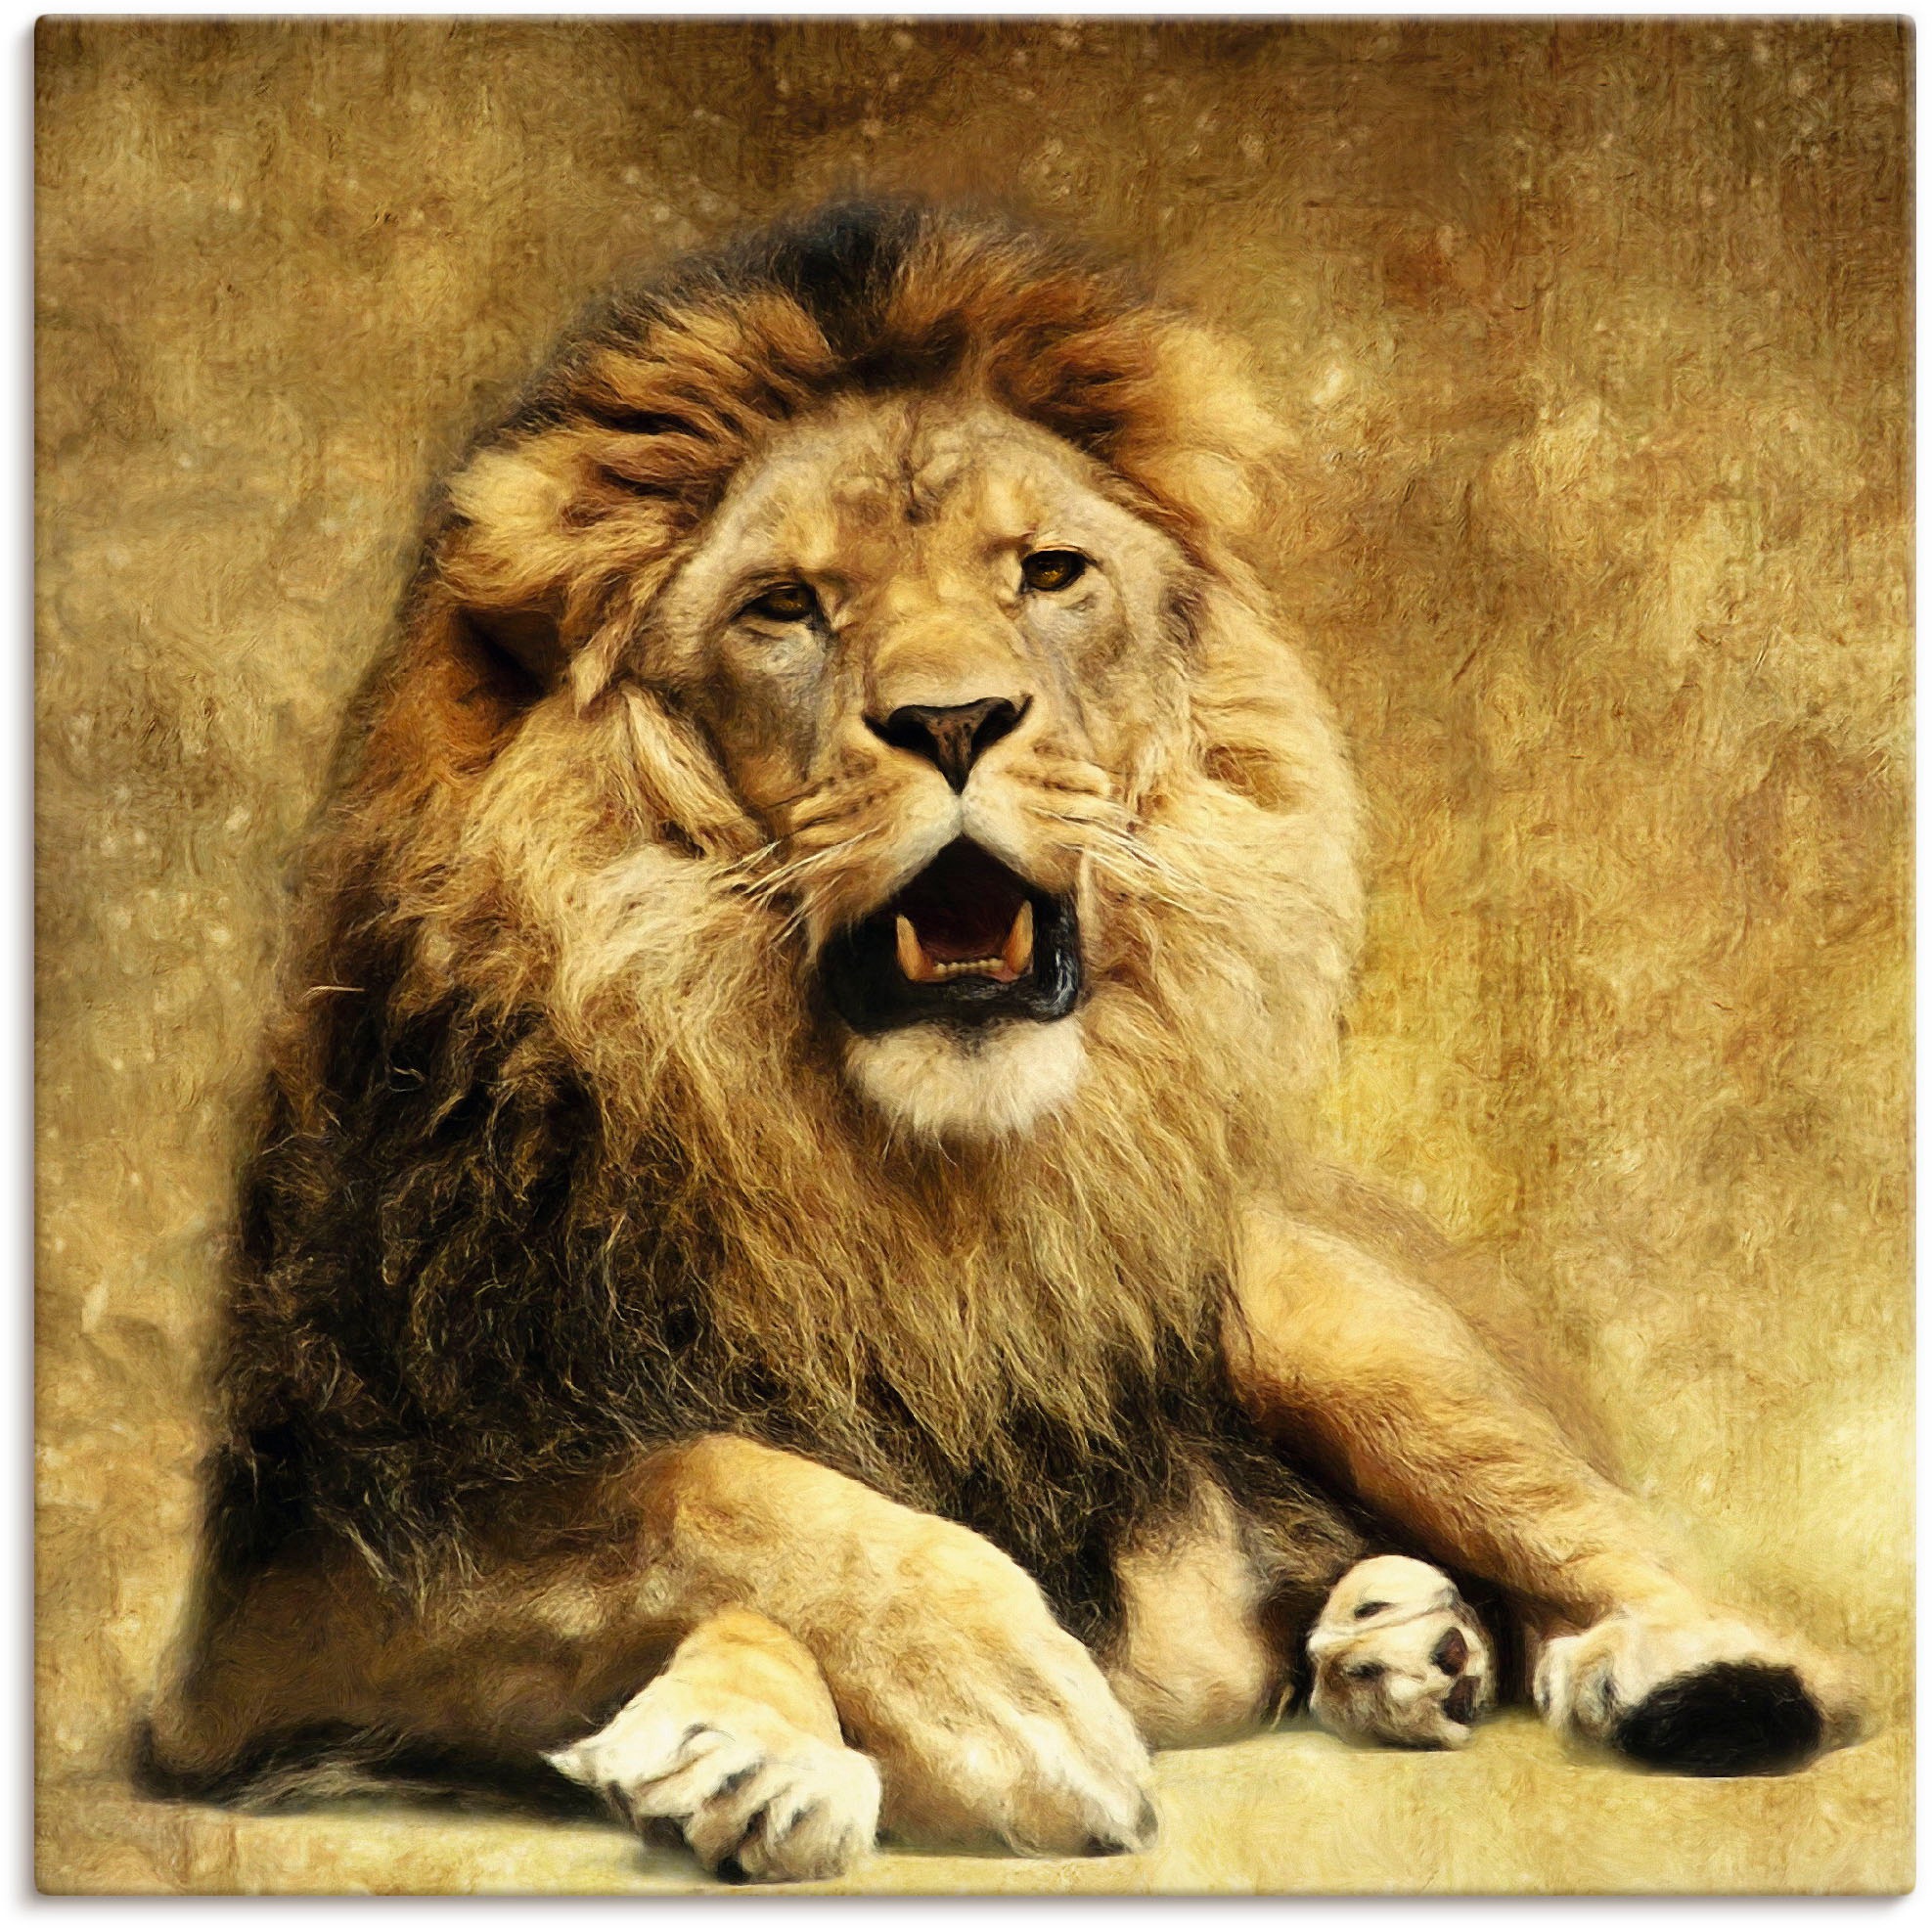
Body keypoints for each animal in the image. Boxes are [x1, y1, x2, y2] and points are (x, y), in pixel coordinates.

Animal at [142, 200, 1867, 1883]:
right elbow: (696, 1487)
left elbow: (708, 1496)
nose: (955, 718)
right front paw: (834, 1723)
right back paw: (1393, 1640)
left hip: (1338, 1329)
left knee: (1597, 1535)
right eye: (783, 607)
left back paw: (1684, 1669)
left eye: (1046, 574)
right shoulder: (289, 1589)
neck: (889, 1182)